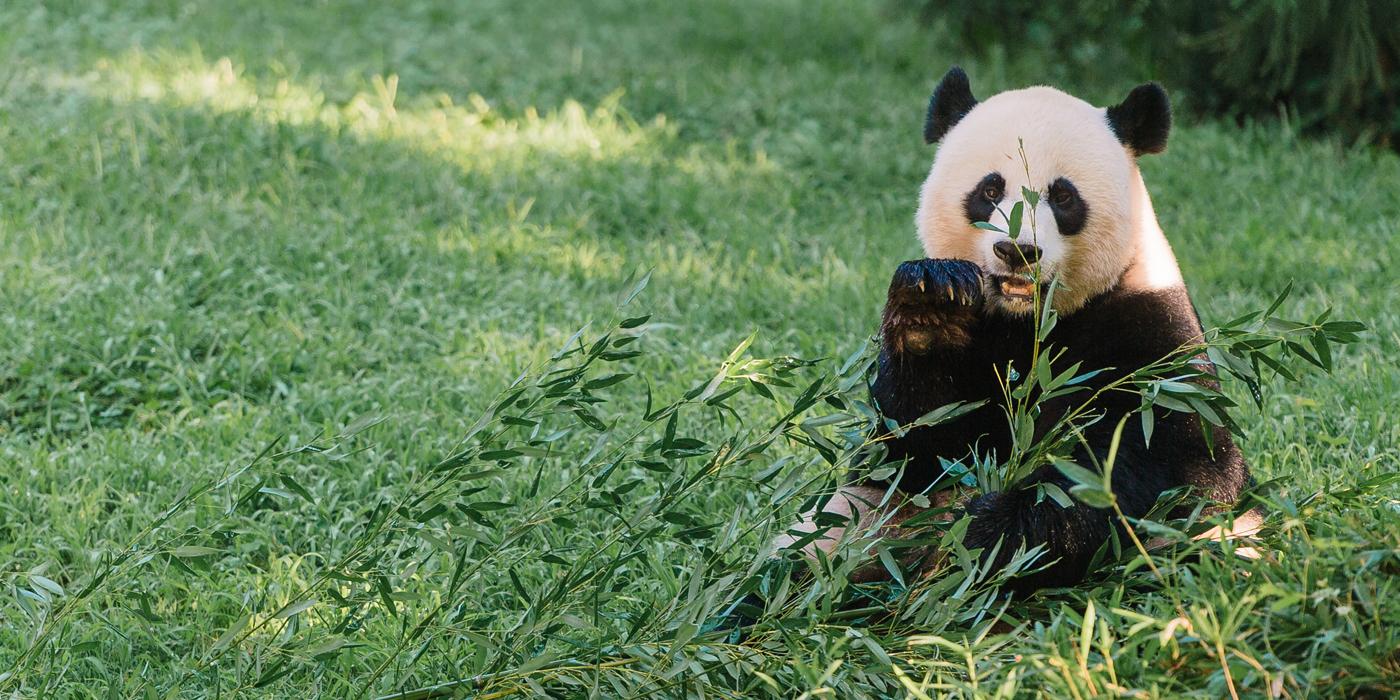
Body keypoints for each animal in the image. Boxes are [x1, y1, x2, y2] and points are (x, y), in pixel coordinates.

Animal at [778, 68, 1260, 593]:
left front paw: (995, 529)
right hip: (841, 536)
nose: (1018, 251)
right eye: (990, 191)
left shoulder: (1147, 329)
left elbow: (1176, 458)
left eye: (1063, 196)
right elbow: (906, 455)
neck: (1026, 322)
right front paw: (932, 306)